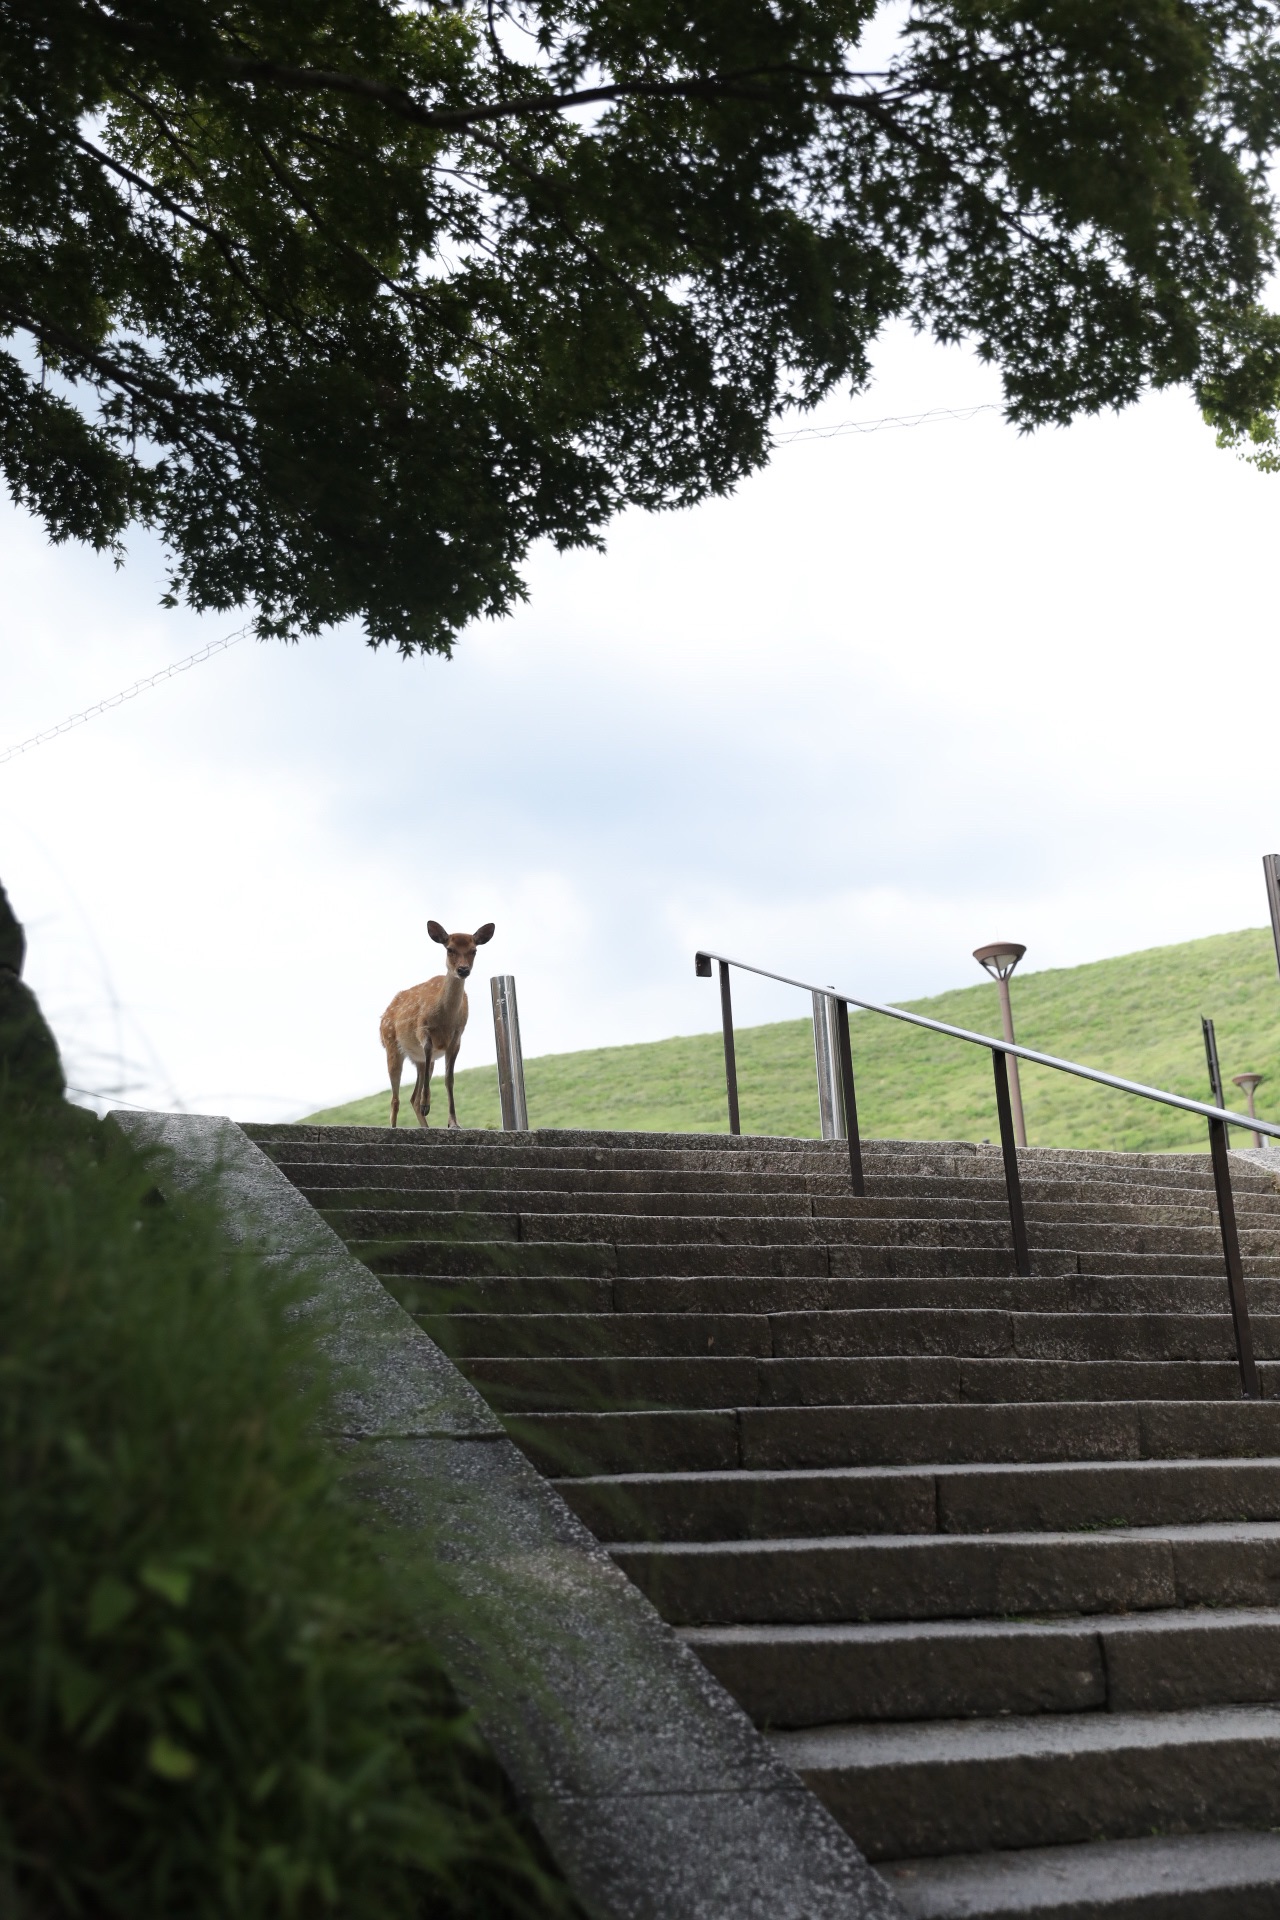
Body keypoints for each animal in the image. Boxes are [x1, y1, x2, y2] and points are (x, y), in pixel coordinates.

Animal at [378, 917, 495, 1121]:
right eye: (449, 949)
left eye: (474, 950)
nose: (463, 970)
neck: (445, 1020)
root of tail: (383, 1016)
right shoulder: (422, 1028)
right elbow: (428, 1048)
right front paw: (428, 1104)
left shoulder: (457, 1037)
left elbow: (449, 1079)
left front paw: (453, 1122)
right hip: (391, 1046)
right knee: (394, 1100)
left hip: (418, 1060)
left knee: (412, 1098)